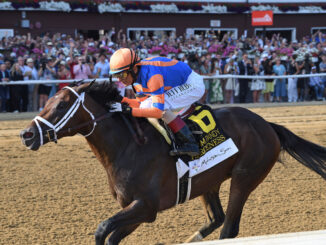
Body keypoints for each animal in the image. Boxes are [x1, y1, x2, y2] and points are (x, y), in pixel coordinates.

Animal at [19, 82, 326, 245]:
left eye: (61, 105)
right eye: (48, 101)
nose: (26, 134)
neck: (127, 147)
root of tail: (268, 125)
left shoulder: (146, 206)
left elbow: (103, 229)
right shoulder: (139, 210)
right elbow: (113, 235)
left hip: (245, 176)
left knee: (228, 228)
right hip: (208, 183)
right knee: (216, 218)